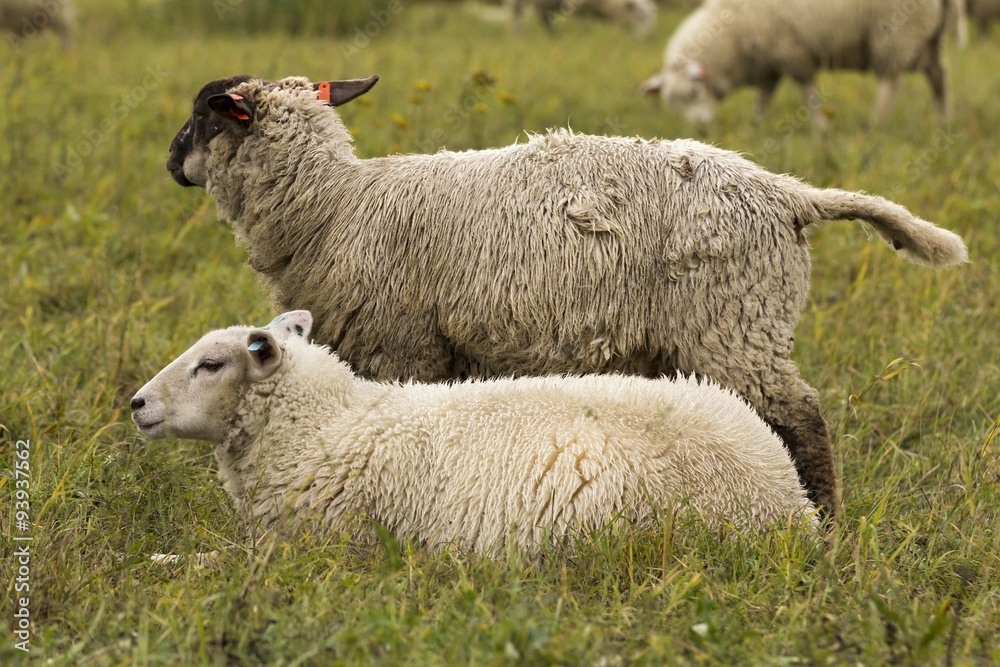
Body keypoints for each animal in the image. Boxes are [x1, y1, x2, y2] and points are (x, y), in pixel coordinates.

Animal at [164, 74, 968, 520]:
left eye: (203, 115)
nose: (171, 160)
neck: (332, 205)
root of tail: (789, 194)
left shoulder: (403, 344)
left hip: (735, 322)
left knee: (803, 417)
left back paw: (826, 524)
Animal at [639, 0, 950, 127]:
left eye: (693, 93)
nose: (701, 129)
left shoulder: (792, 52)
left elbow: (808, 95)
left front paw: (820, 129)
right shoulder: (770, 65)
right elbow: (763, 99)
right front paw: (756, 126)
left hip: (897, 31)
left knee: (891, 82)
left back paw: (875, 123)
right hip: (928, 36)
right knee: (938, 76)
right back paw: (943, 121)